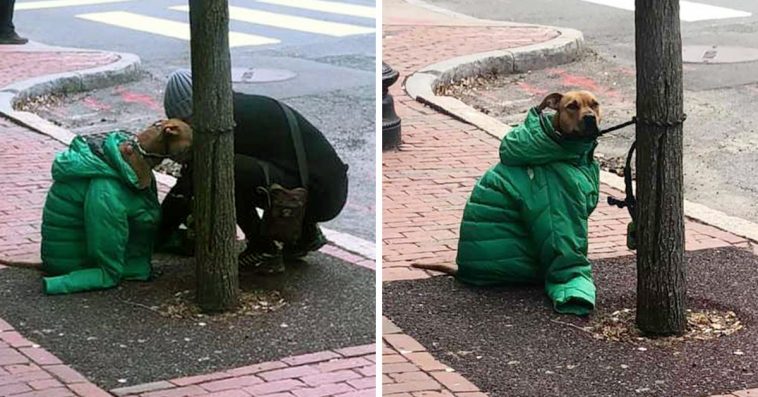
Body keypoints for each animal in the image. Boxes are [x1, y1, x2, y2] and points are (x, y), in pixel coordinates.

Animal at [412, 90, 604, 316]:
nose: (590, 118)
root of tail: (462, 270)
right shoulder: (559, 202)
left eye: (595, 104)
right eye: (572, 106)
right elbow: (566, 249)